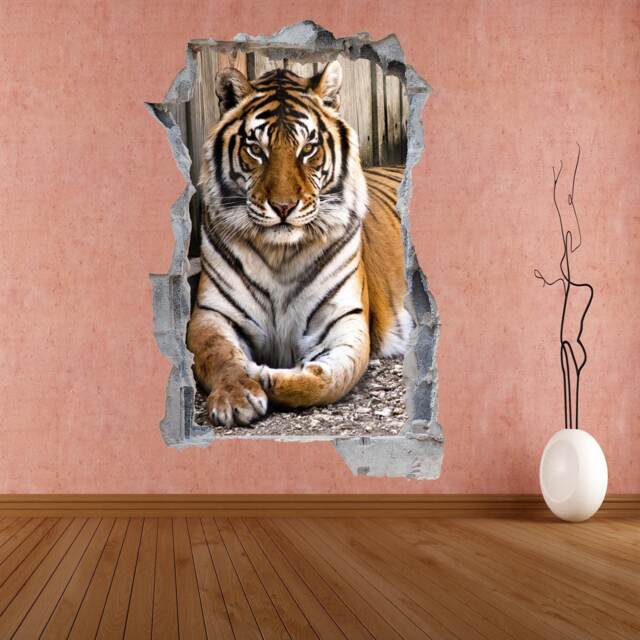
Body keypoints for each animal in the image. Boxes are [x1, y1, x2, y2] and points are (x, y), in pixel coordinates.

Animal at [186, 60, 412, 427]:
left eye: (308, 149)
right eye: (256, 149)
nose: (283, 207)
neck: (280, 254)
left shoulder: (343, 322)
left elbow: (325, 380)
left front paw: (263, 375)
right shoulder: (212, 315)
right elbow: (218, 354)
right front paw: (236, 394)